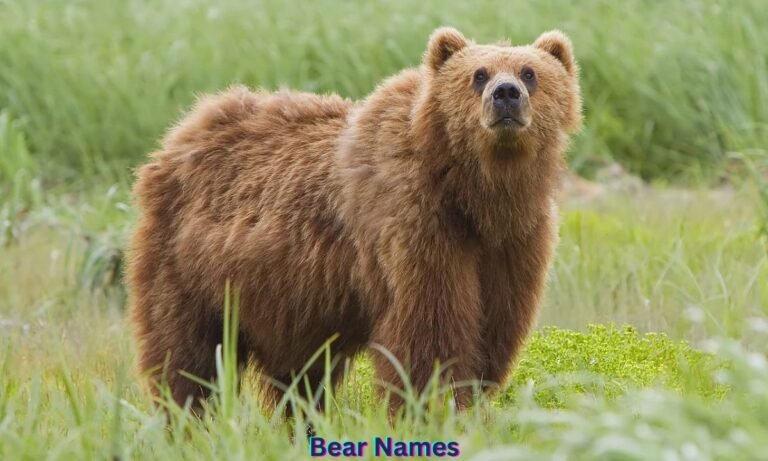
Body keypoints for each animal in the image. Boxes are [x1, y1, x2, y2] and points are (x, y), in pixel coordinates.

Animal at [127, 27, 582, 413]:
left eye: (530, 72)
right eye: (478, 74)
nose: (506, 94)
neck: (475, 195)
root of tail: (183, 130)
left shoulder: (514, 243)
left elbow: (493, 330)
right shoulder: (416, 225)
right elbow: (429, 335)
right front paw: (432, 407)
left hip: (287, 300)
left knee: (299, 377)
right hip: (189, 266)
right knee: (187, 356)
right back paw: (186, 418)